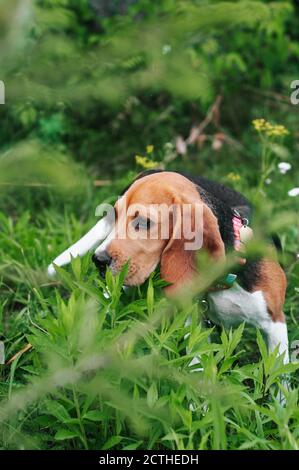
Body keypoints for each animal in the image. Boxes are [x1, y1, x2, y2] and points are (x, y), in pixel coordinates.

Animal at [48, 171, 290, 366]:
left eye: (144, 223)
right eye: (115, 216)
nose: (98, 260)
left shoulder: (275, 323)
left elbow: (279, 378)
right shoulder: (195, 322)